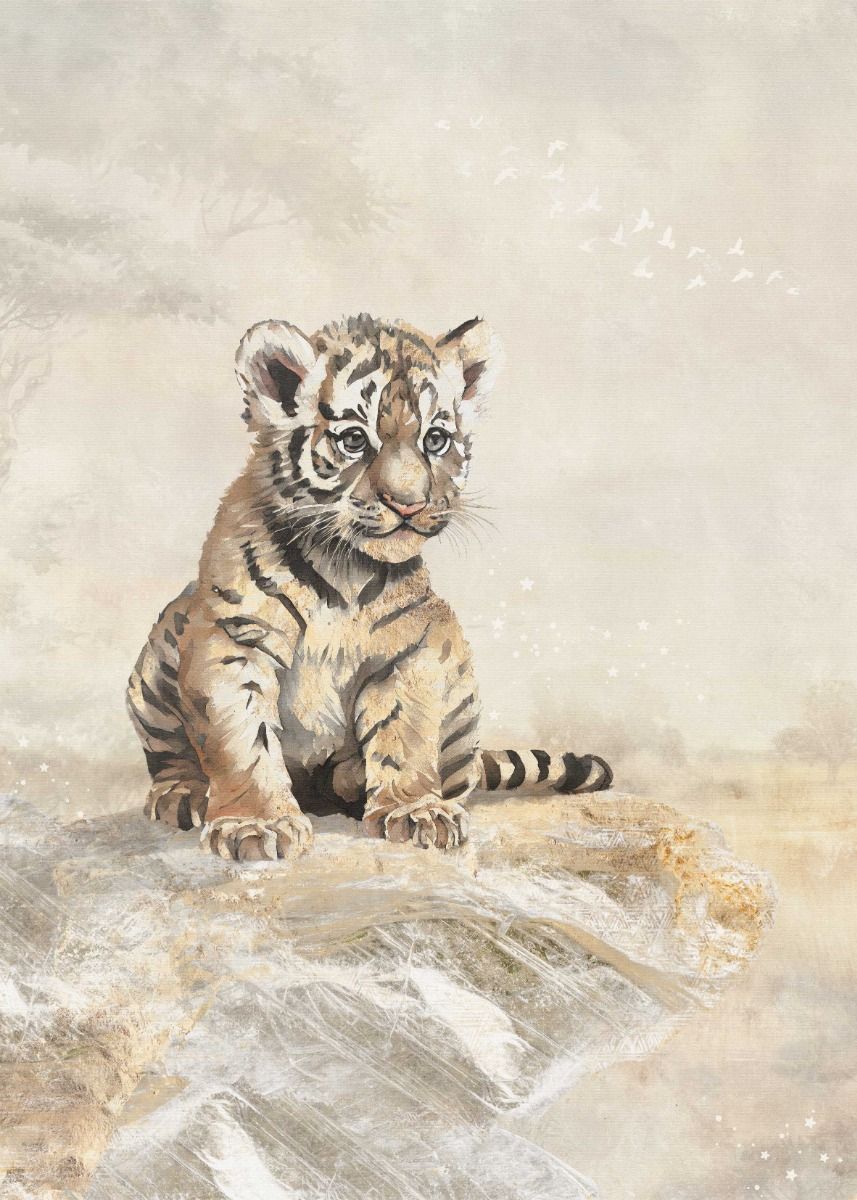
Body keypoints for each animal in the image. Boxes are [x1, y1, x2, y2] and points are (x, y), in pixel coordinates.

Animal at [126, 313, 613, 861]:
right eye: (355, 440)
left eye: (436, 439)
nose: (409, 504)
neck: (344, 568)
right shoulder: (233, 640)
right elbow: (241, 740)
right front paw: (255, 824)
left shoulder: (408, 654)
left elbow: (407, 736)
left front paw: (415, 811)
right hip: (160, 651)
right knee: (170, 755)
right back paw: (184, 796)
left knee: (455, 777)